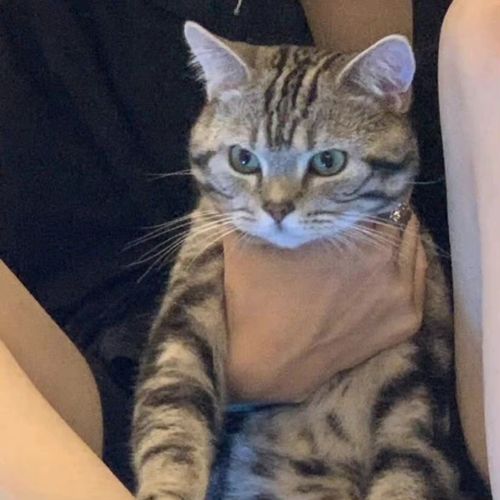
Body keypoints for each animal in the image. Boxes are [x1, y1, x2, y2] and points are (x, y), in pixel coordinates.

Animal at [131, 22, 461, 499]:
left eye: (328, 161)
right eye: (242, 159)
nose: (277, 207)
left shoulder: (418, 375)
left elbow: (412, 466)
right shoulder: (190, 304)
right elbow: (170, 415)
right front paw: (168, 486)